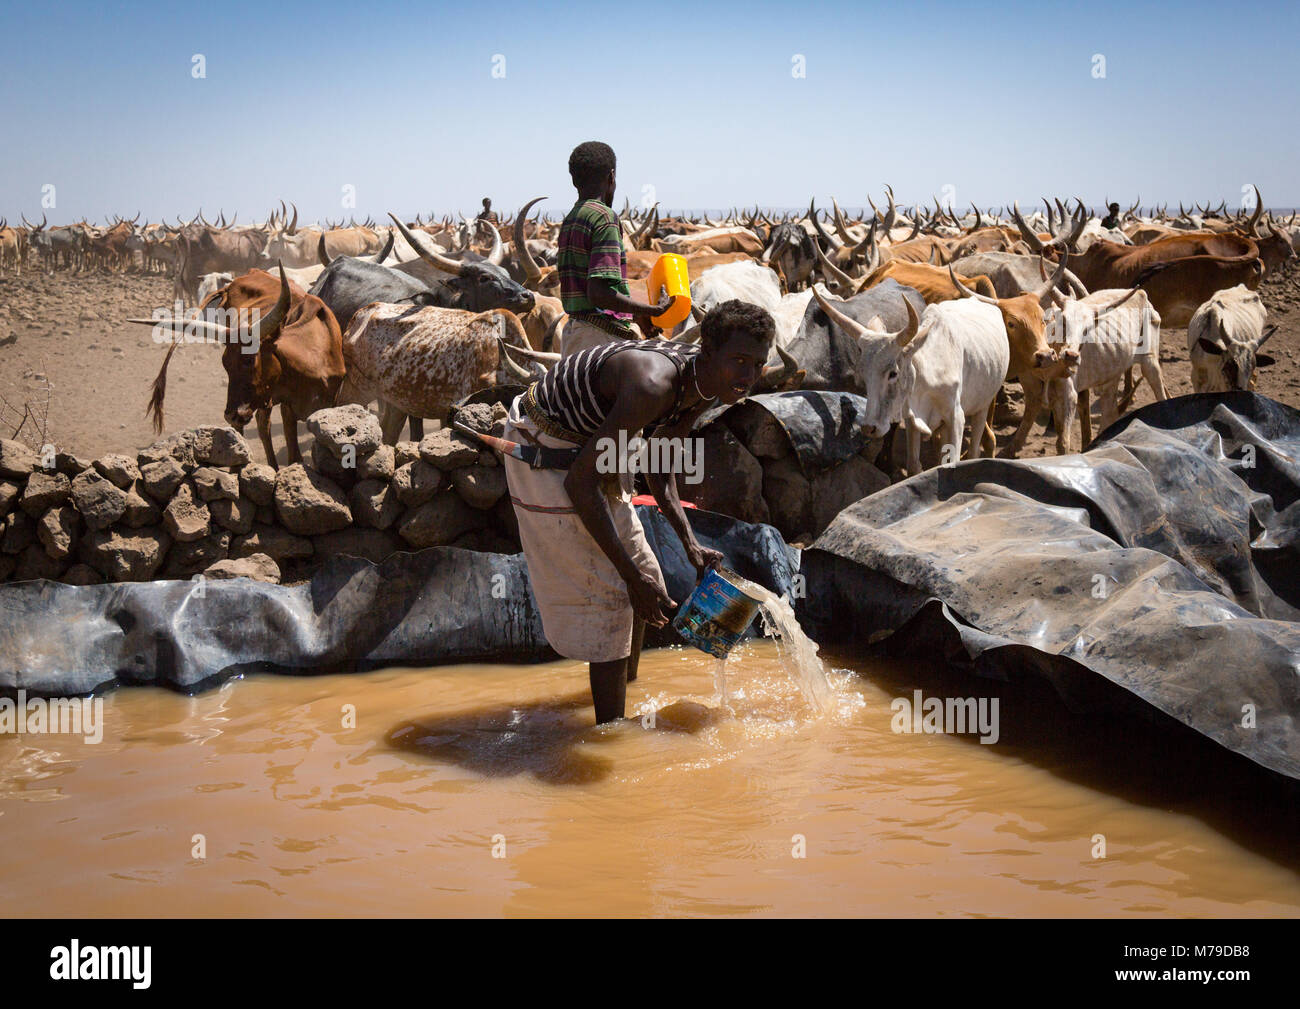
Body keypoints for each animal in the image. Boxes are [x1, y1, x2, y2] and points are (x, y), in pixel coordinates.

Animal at [1045, 287, 1170, 452]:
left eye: (1087, 330)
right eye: (1063, 321)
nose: (1071, 356)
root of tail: (1141, 293)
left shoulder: (1069, 395)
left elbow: (1063, 443)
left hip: (1150, 362)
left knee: (1158, 390)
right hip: (1112, 375)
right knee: (1110, 413)